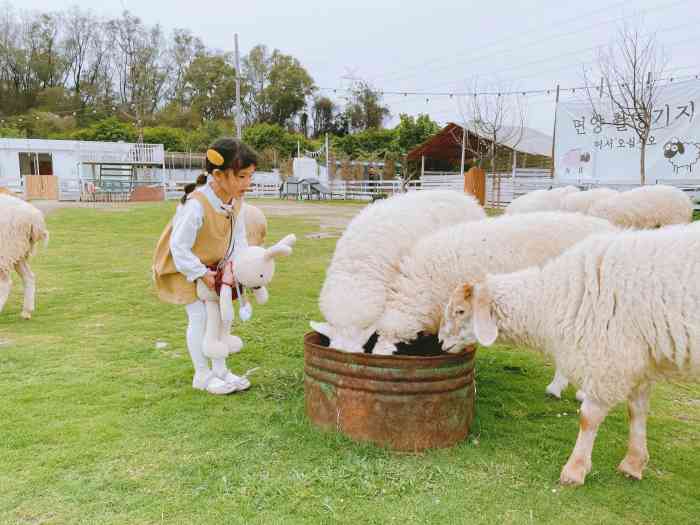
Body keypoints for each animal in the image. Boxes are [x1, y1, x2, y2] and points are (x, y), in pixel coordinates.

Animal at [440, 223, 700, 486]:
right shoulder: (638, 358)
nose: (440, 341)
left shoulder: (608, 358)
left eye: (460, 311)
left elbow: (588, 417)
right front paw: (633, 464)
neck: (550, 300)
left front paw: (574, 470)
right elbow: (637, 411)